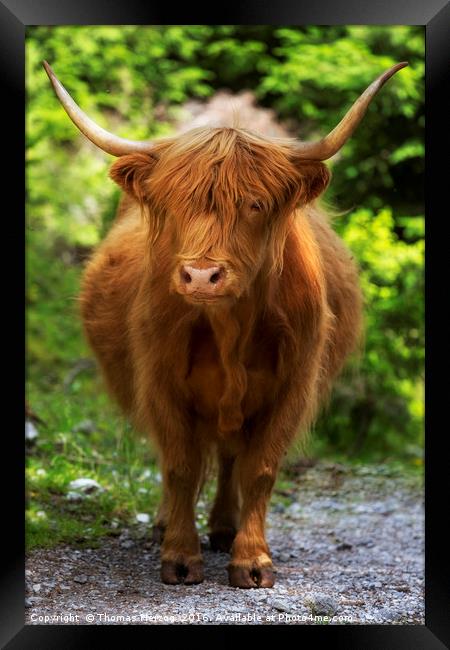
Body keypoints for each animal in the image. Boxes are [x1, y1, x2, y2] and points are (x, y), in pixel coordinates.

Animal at [43, 62, 408, 588]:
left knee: (232, 458)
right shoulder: (160, 381)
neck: (230, 329)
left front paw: (252, 561)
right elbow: (180, 465)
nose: (200, 274)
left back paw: (223, 527)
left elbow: (259, 468)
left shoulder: (291, 387)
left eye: (254, 204)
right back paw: (169, 524)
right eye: (173, 203)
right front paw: (179, 557)